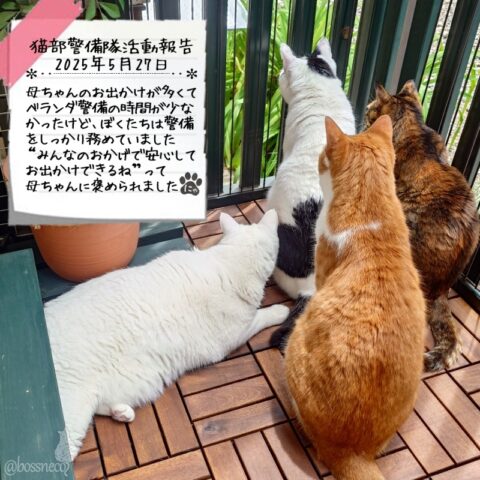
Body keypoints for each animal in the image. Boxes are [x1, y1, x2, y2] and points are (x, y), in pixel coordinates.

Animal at [44, 210, 289, 459]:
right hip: (73, 409)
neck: (227, 262)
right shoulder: (238, 331)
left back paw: (121, 411)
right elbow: (262, 316)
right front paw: (281, 311)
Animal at [285, 116, 426, 480]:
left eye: (322, 157)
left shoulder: (321, 271)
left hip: (295, 344)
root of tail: (353, 452)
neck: (373, 210)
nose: (318, 161)